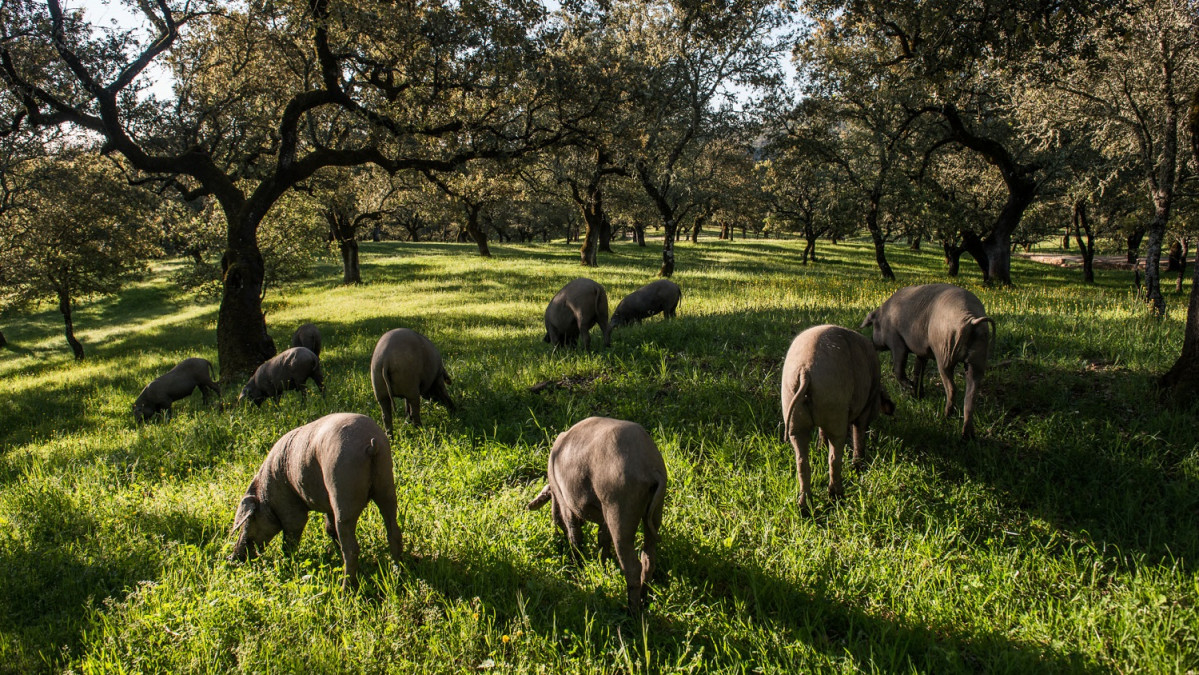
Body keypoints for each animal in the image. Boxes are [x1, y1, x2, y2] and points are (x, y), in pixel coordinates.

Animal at [226, 410, 405, 589]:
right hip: (385, 486)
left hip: (342, 490)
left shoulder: (289, 507)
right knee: (393, 531)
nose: (233, 558)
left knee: (352, 548)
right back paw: (398, 574)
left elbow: (290, 538)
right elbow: (329, 528)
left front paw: (288, 565)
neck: (266, 498)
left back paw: (345, 589)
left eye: (249, 521)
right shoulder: (328, 506)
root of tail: (371, 443)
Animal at [529, 414, 671, 613]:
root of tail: (650, 467)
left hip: (619, 506)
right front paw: (603, 566)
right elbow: (602, 537)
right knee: (648, 558)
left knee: (632, 566)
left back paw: (631, 611)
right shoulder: (603, 514)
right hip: (655, 509)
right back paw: (644, 601)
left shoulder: (565, 501)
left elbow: (574, 533)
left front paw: (577, 565)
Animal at [781, 328, 896, 513]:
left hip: (793, 418)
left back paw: (804, 507)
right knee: (834, 458)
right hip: (835, 411)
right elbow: (859, 434)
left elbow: (822, 432)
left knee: (802, 462)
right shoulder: (864, 410)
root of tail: (805, 370)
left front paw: (820, 448)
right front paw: (859, 466)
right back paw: (837, 496)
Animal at [863, 282, 992, 441]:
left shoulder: (896, 340)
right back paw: (967, 436)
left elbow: (899, 368)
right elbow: (918, 369)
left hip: (944, 354)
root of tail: (971, 319)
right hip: (978, 358)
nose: (871, 343)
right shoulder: (922, 351)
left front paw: (910, 387)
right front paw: (918, 394)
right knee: (971, 394)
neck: (883, 317)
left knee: (952, 387)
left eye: (874, 326)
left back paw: (946, 416)